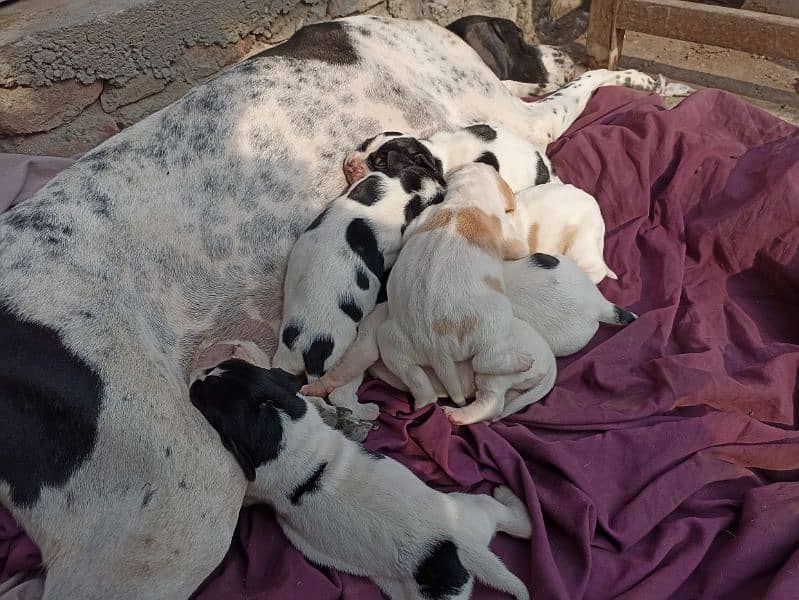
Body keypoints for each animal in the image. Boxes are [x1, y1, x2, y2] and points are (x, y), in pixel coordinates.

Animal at [191, 358, 536, 600]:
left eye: (204, 395)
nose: (195, 376)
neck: (283, 427)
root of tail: (465, 545)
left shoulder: (257, 485)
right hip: (472, 507)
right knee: (519, 523)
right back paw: (510, 496)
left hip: (434, 591)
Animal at [270, 162, 444, 420]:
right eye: (431, 202)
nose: (443, 184)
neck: (397, 190)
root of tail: (307, 350)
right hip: (345, 360)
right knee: (340, 395)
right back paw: (369, 410)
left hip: (284, 362)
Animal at [378, 162, 548, 424]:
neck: (465, 199)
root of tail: (435, 347)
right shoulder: (508, 235)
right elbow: (520, 247)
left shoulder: (420, 219)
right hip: (495, 320)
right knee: (483, 361)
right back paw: (519, 362)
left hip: (392, 341)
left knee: (415, 379)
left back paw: (423, 402)